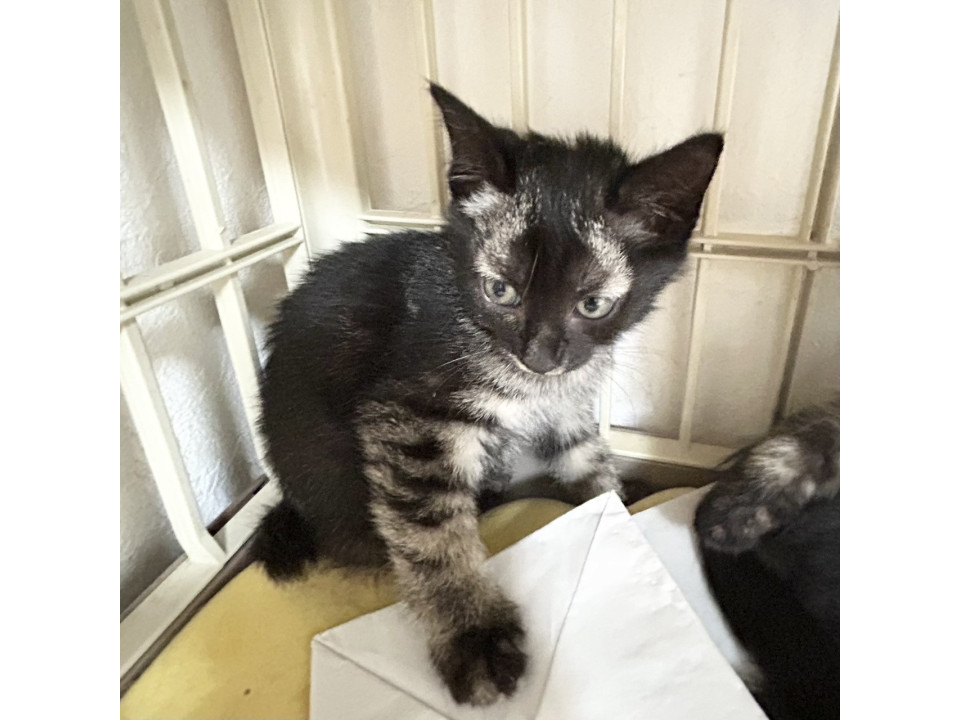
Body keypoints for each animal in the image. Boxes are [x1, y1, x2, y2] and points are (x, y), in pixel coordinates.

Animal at [253, 82, 723, 706]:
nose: (540, 356)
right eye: (500, 291)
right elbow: (431, 532)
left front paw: (615, 505)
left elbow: (586, 458)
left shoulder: (566, 399)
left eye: (593, 304)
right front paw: (473, 635)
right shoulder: (408, 417)